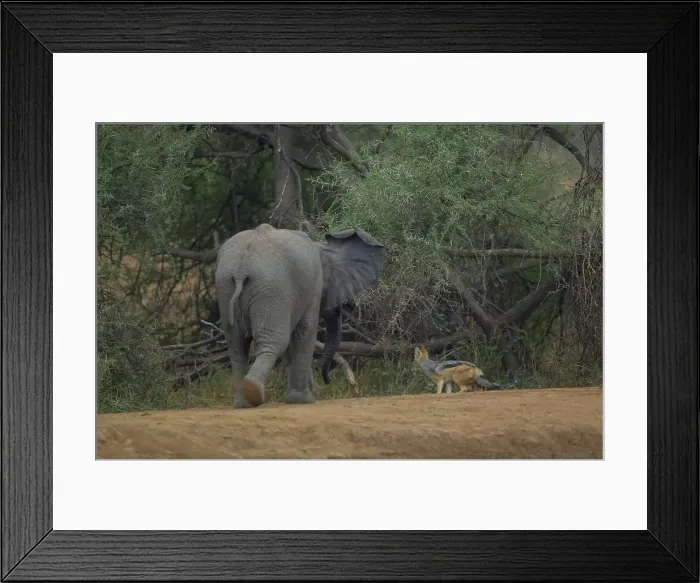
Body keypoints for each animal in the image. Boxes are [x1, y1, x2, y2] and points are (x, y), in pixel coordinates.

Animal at [214, 222, 385, 408]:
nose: (329, 380)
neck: (321, 247)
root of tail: (241, 269)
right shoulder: (312, 286)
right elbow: (305, 331)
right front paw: (304, 400)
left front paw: (308, 395)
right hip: (271, 290)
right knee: (274, 342)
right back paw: (254, 392)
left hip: (226, 287)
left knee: (236, 346)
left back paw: (243, 403)